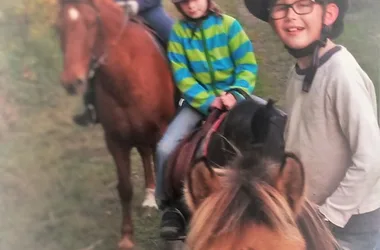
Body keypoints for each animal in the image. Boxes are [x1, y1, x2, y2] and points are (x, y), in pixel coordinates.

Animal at [55, 0, 177, 248]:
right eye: (57, 28)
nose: (72, 82)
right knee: (145, 154)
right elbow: (125, 189)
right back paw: (149, 197)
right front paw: (127, 238)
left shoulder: (162, 130)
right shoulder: (115, 140)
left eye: (92, 23)